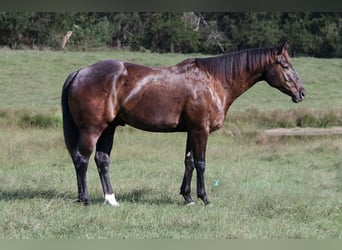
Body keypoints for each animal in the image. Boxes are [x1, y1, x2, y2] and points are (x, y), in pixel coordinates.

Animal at [60, 42, 304, 207]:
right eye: (284, 65)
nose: (301, 93)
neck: (214, 80)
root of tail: (79, 73)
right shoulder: (201, 130)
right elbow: (201, 164)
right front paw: (205, 198)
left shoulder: (191, 131)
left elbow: (189, 163)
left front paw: (188, 197)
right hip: (92, 129)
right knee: (82, 159)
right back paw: (85, 199)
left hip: (109, 128)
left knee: (102, 160)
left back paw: (111, 200)